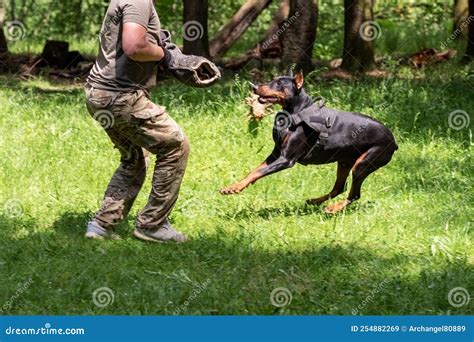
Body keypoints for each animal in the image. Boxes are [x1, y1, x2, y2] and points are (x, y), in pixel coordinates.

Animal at [220, 70, 398, 214]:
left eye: (279, 84)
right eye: (273, 79)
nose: (254, 86)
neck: (294, 114)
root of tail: (394, 141)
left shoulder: (286, 159)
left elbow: (258, 173)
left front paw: (235, 188)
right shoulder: (276, 154)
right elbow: (254, 171)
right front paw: (232, 187)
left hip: (363, 163)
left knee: (354, 194)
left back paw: (333, 208)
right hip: (345, 162)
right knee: (340, 187)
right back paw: (315, 201)